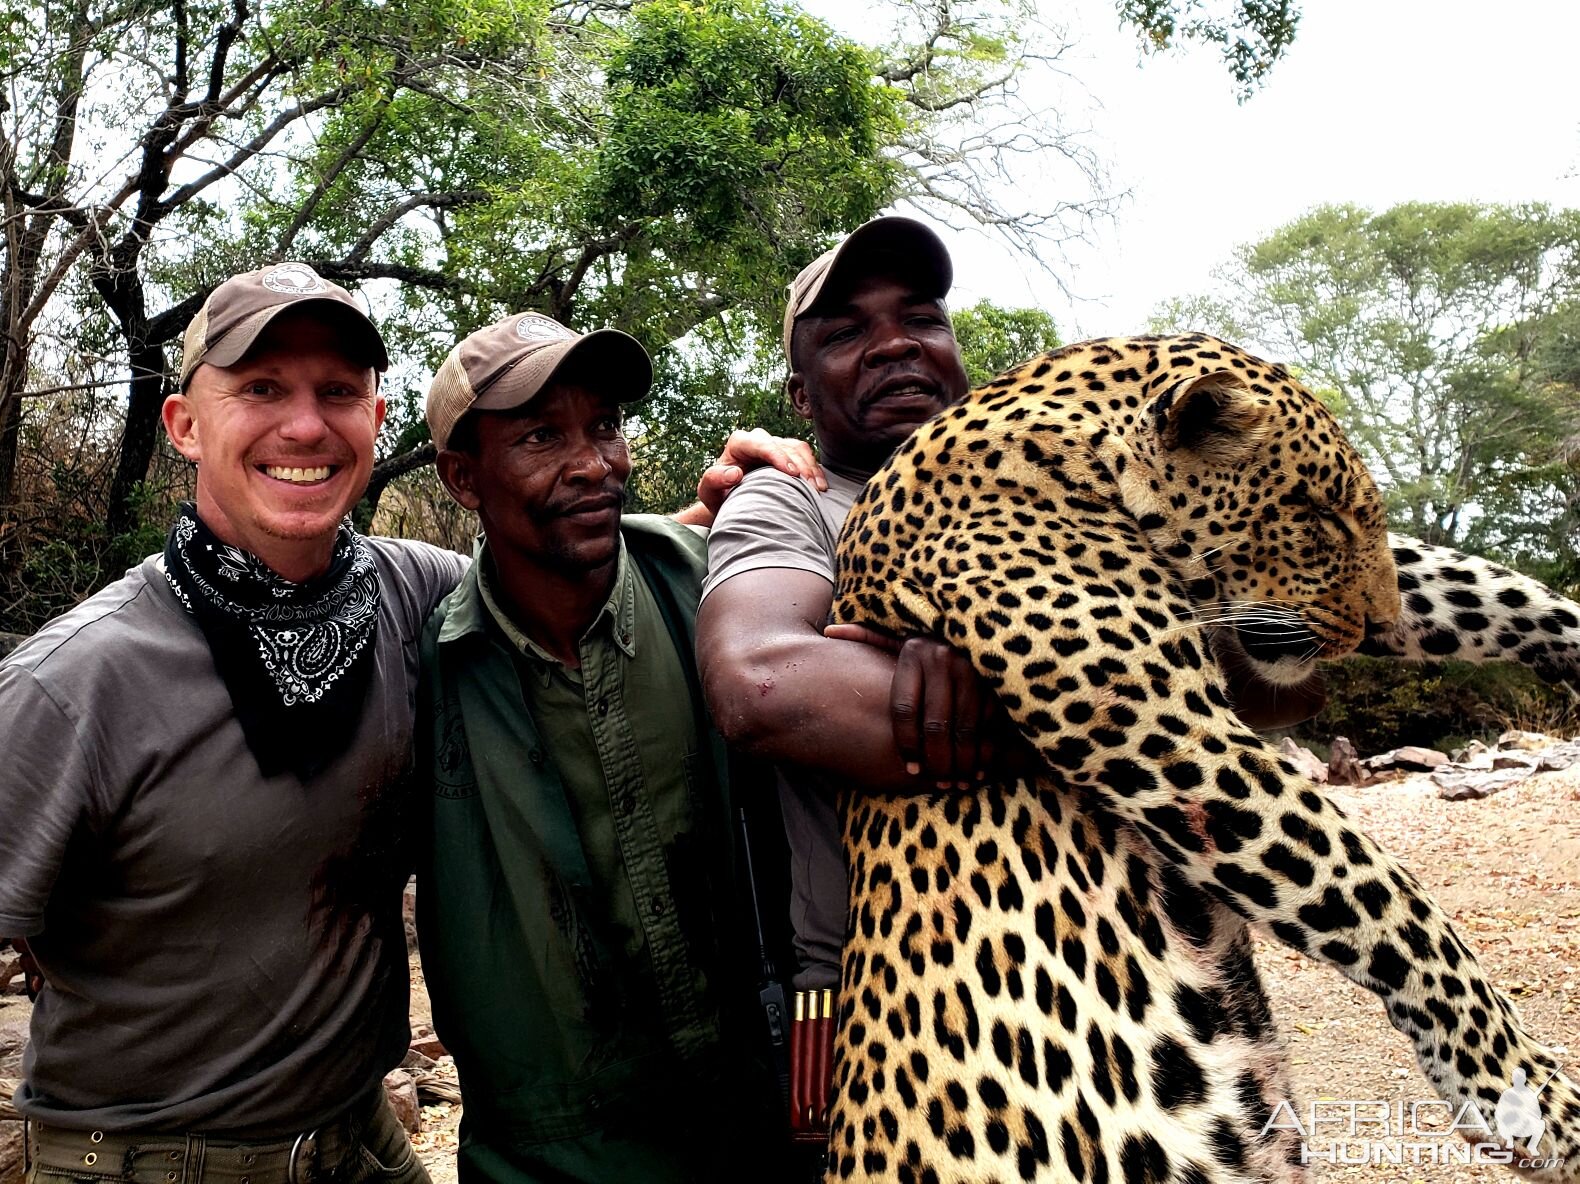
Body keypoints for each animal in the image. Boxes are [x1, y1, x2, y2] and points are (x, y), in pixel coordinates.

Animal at [821, 331, 1573, 1182]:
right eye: (1314, 516)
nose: (1376, 626)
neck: (1083, 448)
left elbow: (1462, 584)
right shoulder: (1179, 744)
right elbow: (1388, 898)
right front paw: (1524, 1089)